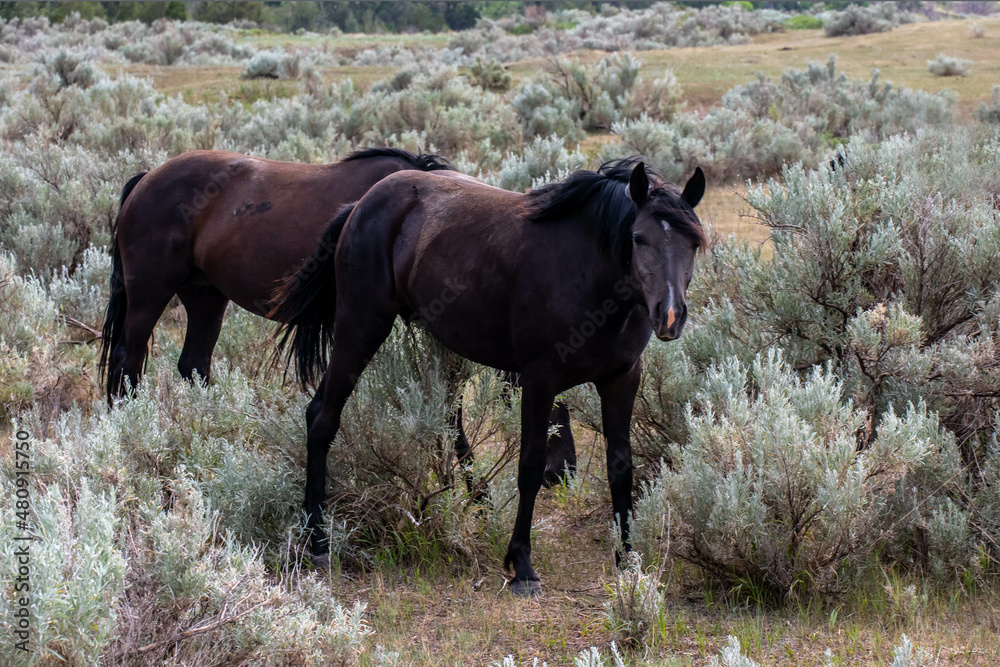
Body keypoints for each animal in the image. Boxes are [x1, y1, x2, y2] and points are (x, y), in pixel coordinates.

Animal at [98, 147, 576, 487]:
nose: (563, 471)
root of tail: (147, 179)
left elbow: (448, 409)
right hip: (149, 295)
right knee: (127, 362)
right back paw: (124, 432)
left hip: (206, 298)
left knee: (193, 365)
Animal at [270, 158, 706, 595]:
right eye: (638, 238)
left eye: (694, 243)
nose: (670, 315)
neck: (588, 272)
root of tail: (360, 204)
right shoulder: (540, 379)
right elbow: (530, 466)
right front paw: (522, 565)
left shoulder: (621, 379)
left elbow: (621, 467)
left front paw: (627, 558)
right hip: (360, 327)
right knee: (323, 418)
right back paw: (318, 541)